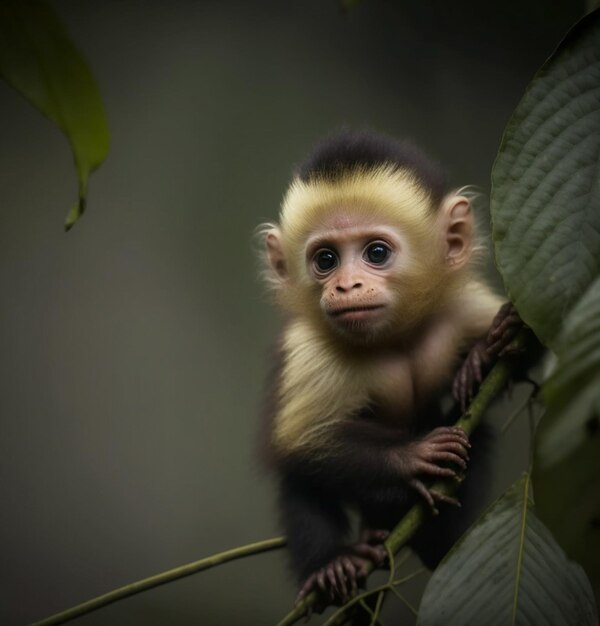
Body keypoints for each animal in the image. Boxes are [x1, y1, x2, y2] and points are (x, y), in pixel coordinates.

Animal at [258, 128, 524, 608]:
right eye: (325, 260)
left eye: (376, 253)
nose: (347, 286)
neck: (395, 337)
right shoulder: (310, 350)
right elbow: (302, 442)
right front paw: (410, 458)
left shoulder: (461, 305)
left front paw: (483, 353)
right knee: (300, 477)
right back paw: (334, 565)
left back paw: (442, 543)